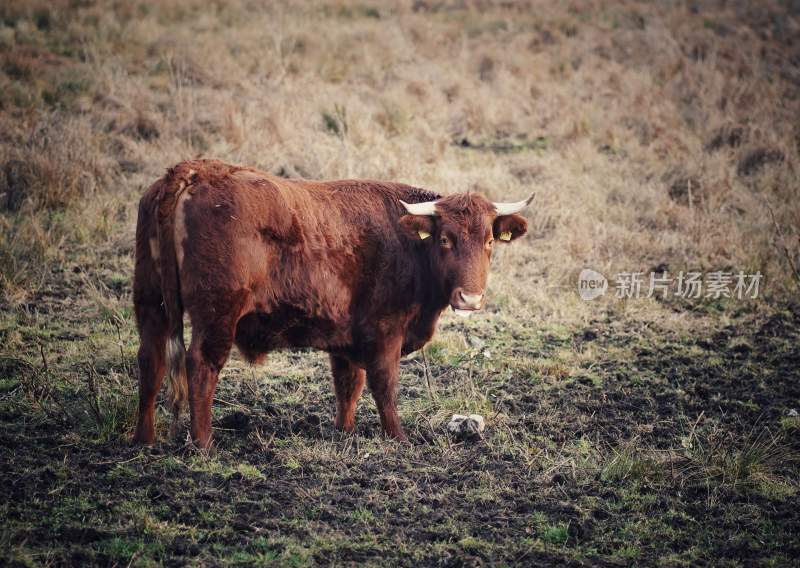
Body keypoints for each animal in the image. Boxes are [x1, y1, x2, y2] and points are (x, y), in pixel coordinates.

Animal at [133, 160, 532, 448]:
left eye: (489, 242)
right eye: (446, 239)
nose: (470, 298)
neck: (407, 242)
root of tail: (195, 171)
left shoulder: (346, 337)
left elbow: (348, 384)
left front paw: (345, 431)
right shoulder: (385, 332)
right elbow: (384, 385)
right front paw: (398, 438)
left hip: (150, 303)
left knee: (151, 361)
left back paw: (144, 439)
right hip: (217, 315)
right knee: (201, 367)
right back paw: (203, 444)